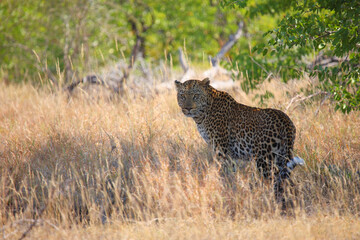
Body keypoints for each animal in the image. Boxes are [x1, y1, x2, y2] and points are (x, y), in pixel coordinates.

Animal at [174, 78, 304, 202]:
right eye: (182, 96)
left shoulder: (221, 150)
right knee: (287, 183)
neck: (201, 115)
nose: (187, 108)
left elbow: (224, 171)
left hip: (264, 160)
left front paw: (225, 188)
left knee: (275, 182)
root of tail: (285, 120)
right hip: (281, 157)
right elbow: (232, 170)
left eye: (196, 95)